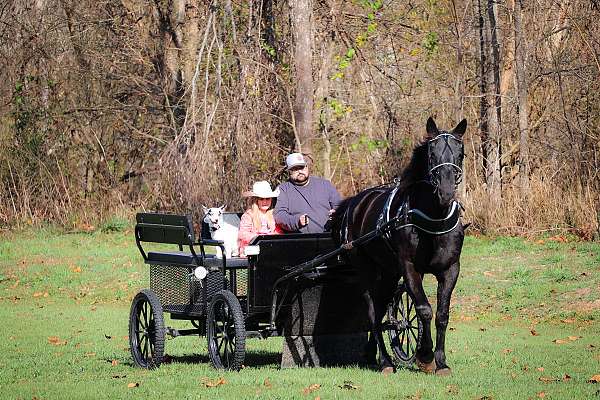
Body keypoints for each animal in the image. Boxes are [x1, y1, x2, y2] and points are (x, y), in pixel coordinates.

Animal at [330, 116, 466, 376]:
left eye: (460, 153)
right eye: (431, 153)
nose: (445, 193)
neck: (433, 218)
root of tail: (355, 203)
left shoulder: (450, 269)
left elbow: (442, 314)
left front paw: (441, 362)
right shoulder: (410, 267)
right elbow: (424, 309)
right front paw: (425, 355)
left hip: (389, 274)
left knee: (383, 309)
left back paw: (371, 354)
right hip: (368, 271)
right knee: (374, 313)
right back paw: (385, 361)